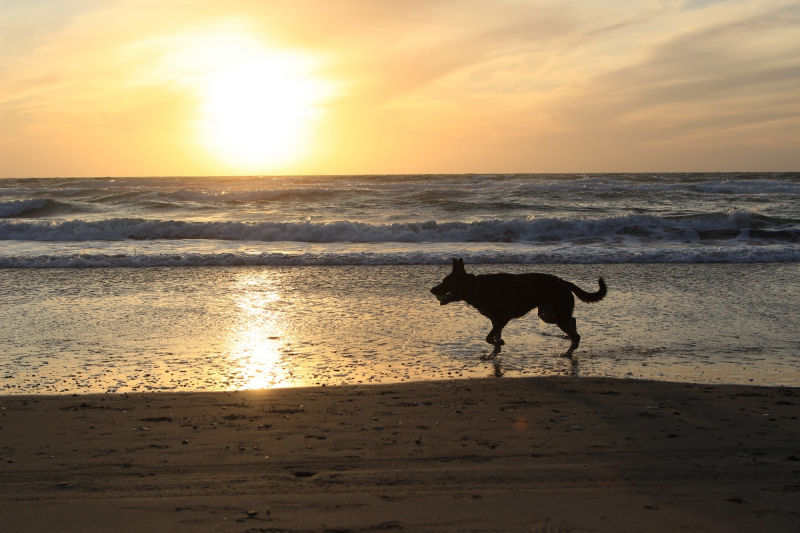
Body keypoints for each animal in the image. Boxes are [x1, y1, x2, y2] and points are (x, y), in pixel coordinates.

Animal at [432, 258, 608, 358]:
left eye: (446, 282)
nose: (432, 290)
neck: (476, 287)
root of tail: (564, 282)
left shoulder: (503, 318)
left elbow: (489, 337)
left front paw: (498, 346)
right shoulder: (496, 321)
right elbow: (494, 337)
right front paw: (494, 352)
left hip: (557, 315)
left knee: (575, 334)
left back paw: (568, 351)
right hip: (548, 314)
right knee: (573, 321)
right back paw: (568, 339)